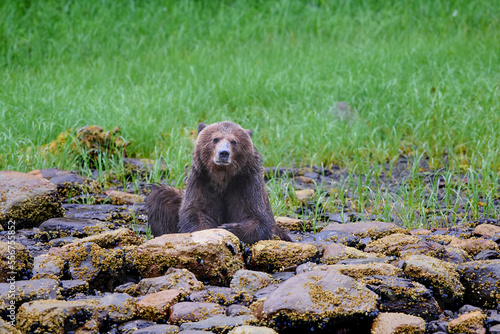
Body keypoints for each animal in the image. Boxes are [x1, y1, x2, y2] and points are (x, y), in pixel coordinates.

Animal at [145, 120, 292, 243]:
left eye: (234, 141)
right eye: (215, 139)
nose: (223, 153)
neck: (222, 178)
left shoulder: (246, 185)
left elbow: (256, 217)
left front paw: (229, 227)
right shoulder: (202, 182)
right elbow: (196, 211)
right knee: (162, 197)